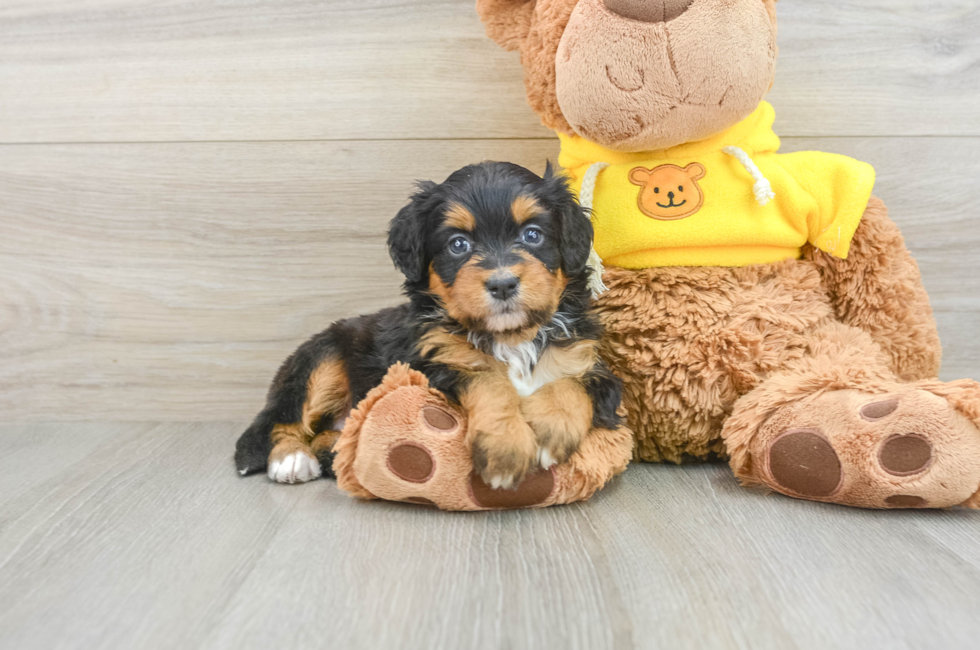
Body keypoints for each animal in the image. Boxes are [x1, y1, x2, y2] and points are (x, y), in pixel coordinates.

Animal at [234, 161, 624, 486]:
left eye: (532, 235)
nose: (502, 284)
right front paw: (505, 448)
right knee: (284, 421)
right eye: (458, 244)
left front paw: (548, 431)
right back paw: (291, 459)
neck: (511, 337)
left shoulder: (593, 367)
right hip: (321, 358)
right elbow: (489, 381)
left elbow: (568, 385)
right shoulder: (436, 366)